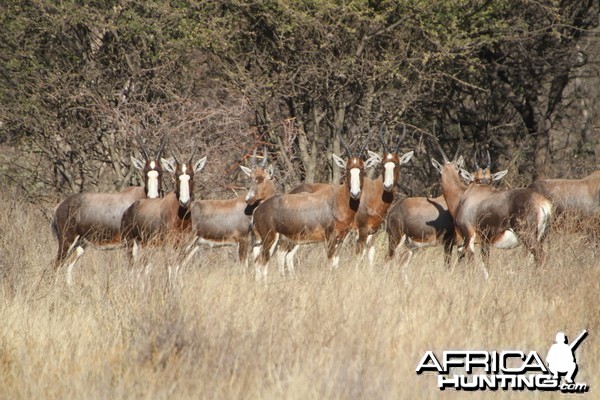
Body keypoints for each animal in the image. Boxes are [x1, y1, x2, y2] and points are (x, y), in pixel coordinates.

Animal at [51, 136, 166, 270]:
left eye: (161, 172)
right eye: (145, 172)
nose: (153, 196)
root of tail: (58, 207)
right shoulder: (130, 243)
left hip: (80, 244)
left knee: (68, 267)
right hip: (67, 242)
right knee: (54, 266)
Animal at [254, 141, 380, 282]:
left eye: (362, 169)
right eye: (348, 169)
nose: (355, 193)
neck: (336, 199)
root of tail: (257, 211)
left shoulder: (341, 239)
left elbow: (335, 263)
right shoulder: (330, 238)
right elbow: (329, 262)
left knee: (260, 261)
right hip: (270, 239)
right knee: (261, 262)